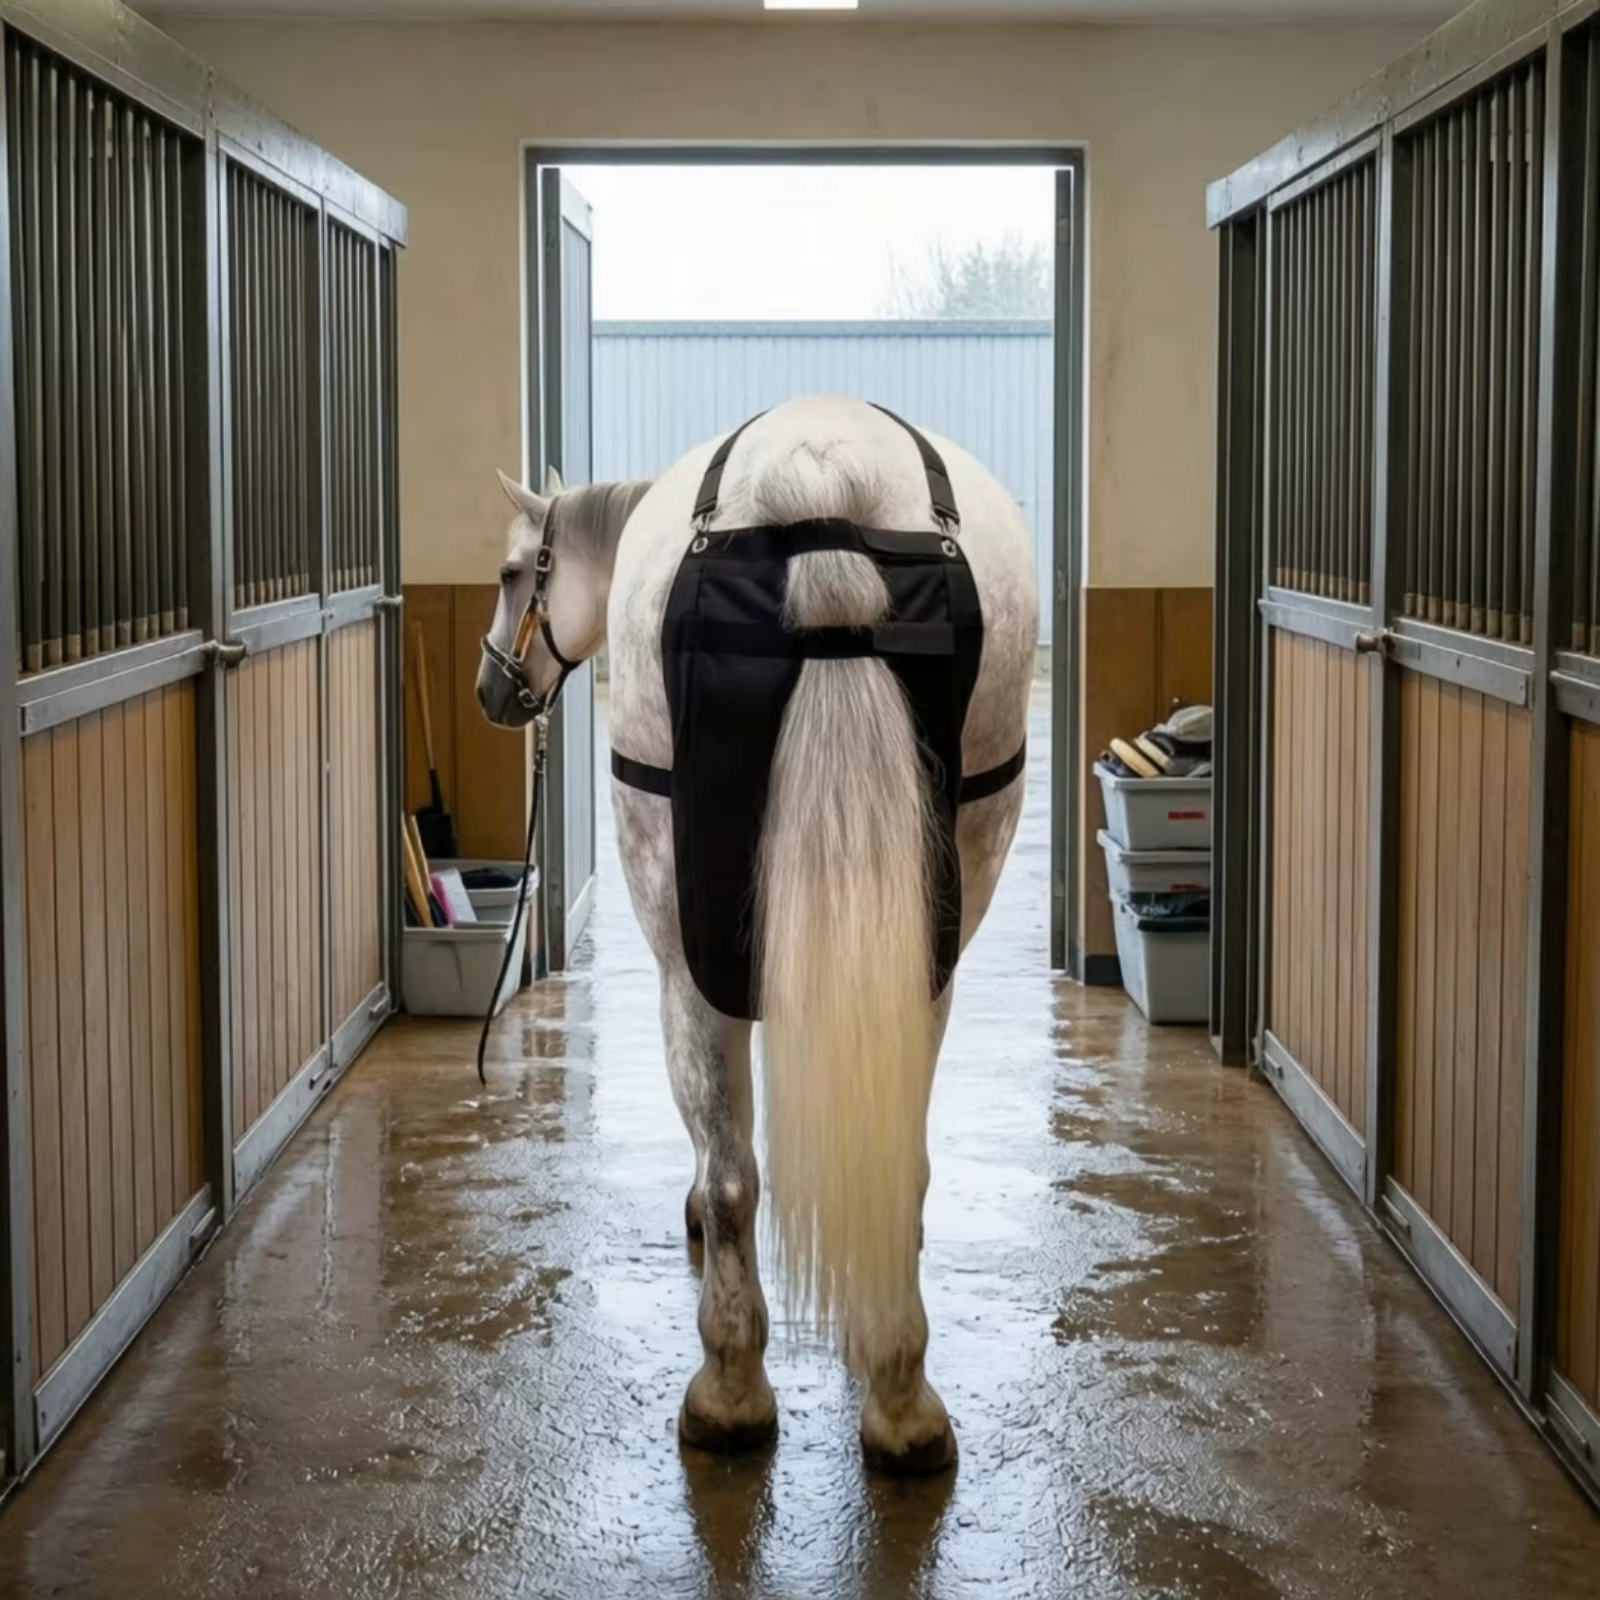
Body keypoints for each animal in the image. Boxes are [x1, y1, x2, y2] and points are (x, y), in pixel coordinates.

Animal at [476, 395, 1038, 1475]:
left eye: (514, 571)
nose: (494, 693)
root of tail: (817, 479)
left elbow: (724, 1163)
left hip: (682, 952)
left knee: (732, 1173)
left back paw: (729, 1393)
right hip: (932, 937)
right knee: (894, 1155)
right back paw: (899, 1393)